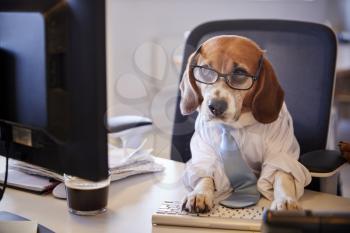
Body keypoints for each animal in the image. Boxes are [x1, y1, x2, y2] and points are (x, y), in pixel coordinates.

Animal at [179, 35, 310, 213]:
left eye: (240, 73)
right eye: (205, 70)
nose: (215, 106)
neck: (237, 126)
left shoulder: (280, 153)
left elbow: (282, 177)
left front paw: (285, 200)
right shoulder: (205, 151)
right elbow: (205, 175)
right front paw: (200, 194)